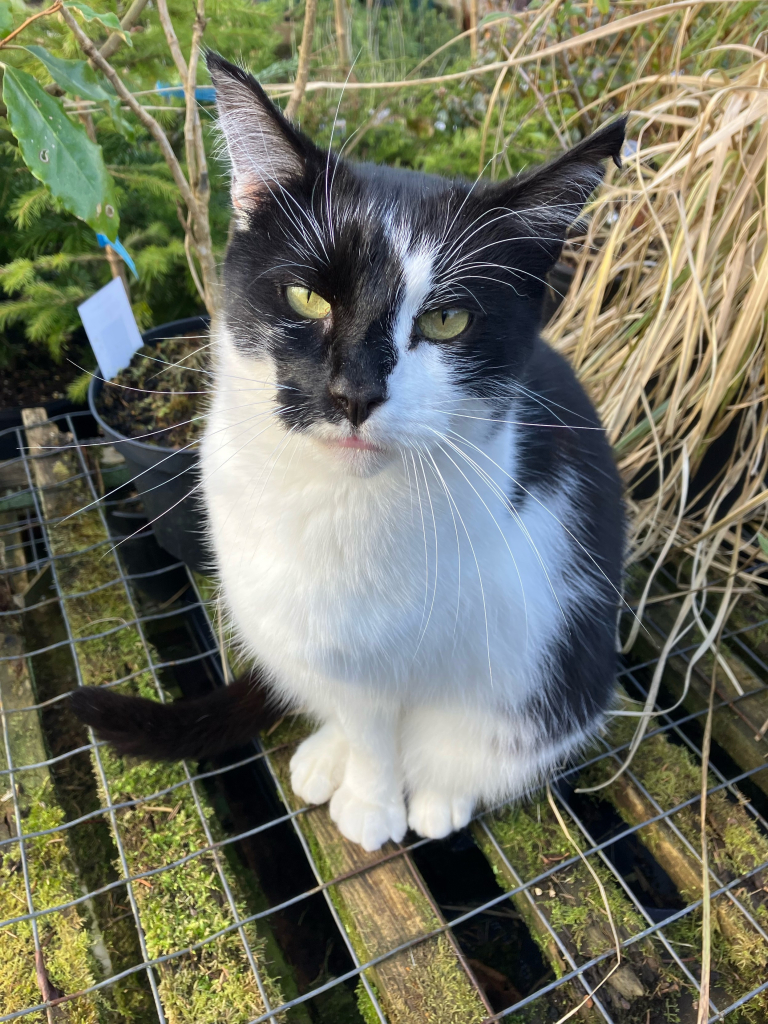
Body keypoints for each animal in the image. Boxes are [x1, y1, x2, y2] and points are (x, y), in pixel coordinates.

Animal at [72, 51, 626, 851]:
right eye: (307, 299)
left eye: (448, 320)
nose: (354, 392)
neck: (331, 504)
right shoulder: (324, 650)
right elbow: (363, 722)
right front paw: (362, 779)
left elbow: (425, 725)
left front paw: (388, 800)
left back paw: (439, 790)